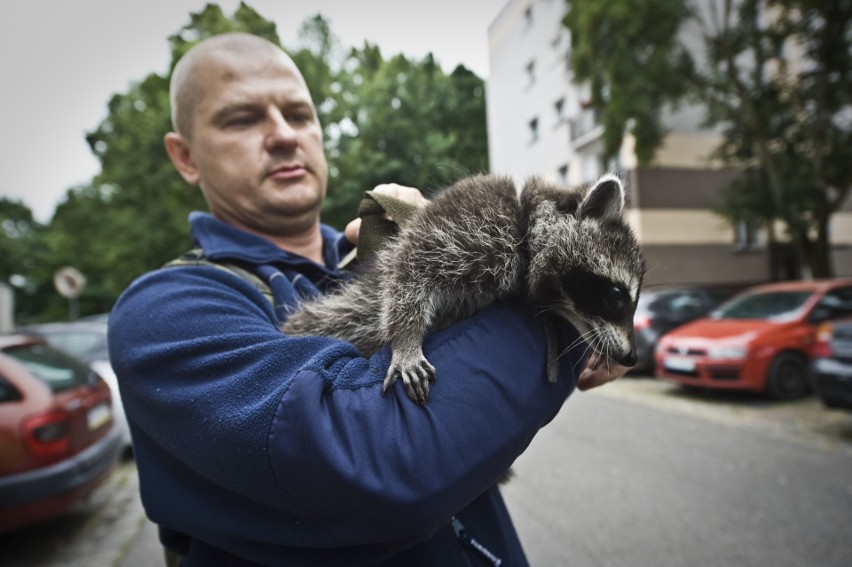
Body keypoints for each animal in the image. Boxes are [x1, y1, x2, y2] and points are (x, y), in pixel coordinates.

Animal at [282, 173, 644, 404]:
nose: (632, 358)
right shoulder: (466, 216)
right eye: (616, 295)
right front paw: (405, 339)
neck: (526, 227)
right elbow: (409, 267)